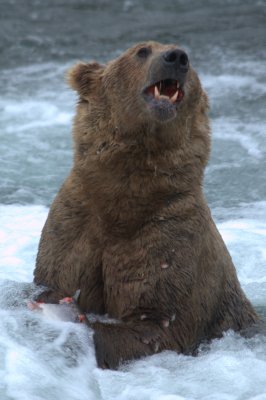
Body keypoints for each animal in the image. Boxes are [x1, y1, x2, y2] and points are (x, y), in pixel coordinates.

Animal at [33, 40, 260, 368]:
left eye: (190, 61)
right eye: (141, 51)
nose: (177, 57)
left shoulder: (169, 234)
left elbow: (157, 324)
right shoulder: (74, 224)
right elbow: (57, 274)